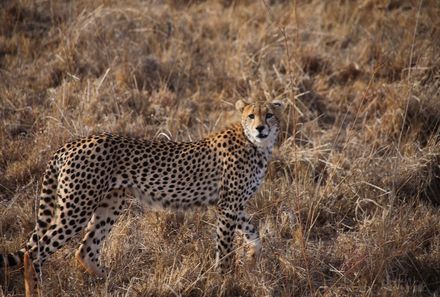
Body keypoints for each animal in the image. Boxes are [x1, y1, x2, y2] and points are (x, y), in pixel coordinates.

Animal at [0, 99, 286, 292]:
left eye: (269, 115)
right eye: (251, 116)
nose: (261, 128)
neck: (255, 145)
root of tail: (72, 143)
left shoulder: (233, 205)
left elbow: (254, 233)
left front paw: (252, 258)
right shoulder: (228, 205)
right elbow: (225, 248)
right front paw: (225, 279)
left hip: (109, 203)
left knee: (85, 250)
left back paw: (114, 280)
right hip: (77, 207)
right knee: (34, 251)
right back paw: (37, 290)